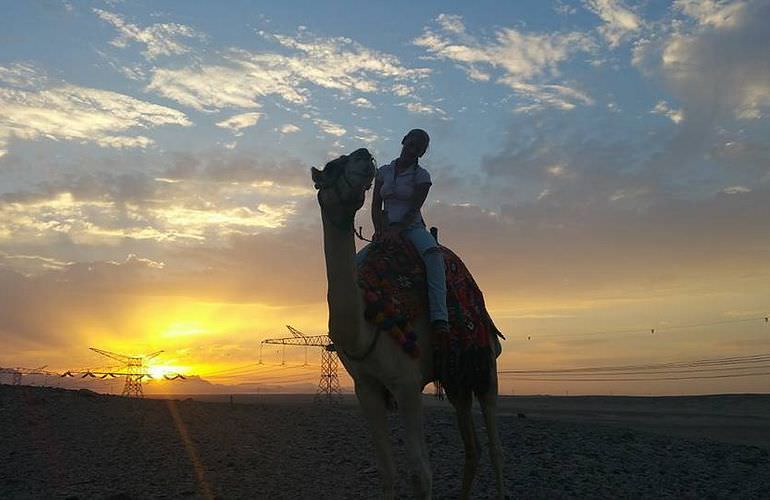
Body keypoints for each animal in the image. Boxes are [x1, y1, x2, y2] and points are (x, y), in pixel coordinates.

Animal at [312, 148, 504, 500]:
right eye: (331, 166)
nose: (363, 153)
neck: (366, 325)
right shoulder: (366, 387)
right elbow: (387, 471)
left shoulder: (407, 383)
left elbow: (421, 474)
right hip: (456, 376)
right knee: (473, 448)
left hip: (487, 365)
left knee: (495, 446)